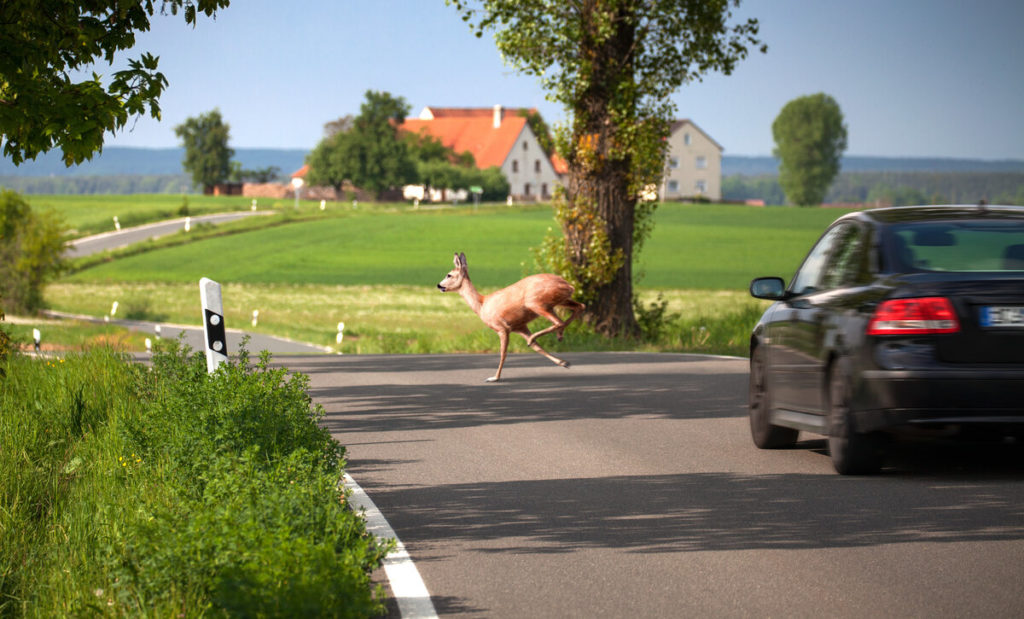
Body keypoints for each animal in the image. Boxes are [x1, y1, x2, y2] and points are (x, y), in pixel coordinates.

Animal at [440, 253, 585, 381]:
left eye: (449, 275)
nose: (439, 285)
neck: (481, 305)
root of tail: (569, 285)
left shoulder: (501, 328)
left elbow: (503, 353)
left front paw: (495, 378)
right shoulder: (519, 327)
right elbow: (537, 348)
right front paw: (563, 363)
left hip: (536, 303)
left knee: (559, 321)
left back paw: (540, 338)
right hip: (557, 301)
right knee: (580, 307)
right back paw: (556, 337)